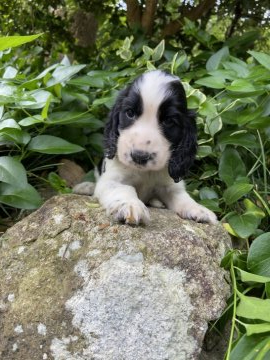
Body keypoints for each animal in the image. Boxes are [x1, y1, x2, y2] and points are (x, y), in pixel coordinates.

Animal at [74, 70, 217, 225]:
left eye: (169, 121)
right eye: (130, 113)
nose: (139, 156)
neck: (144, 173)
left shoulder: (169, 184)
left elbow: (182, 197)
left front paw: (200, 210)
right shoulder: (111, 180)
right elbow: (123, 188)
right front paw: (129, 205)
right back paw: (86, 187)